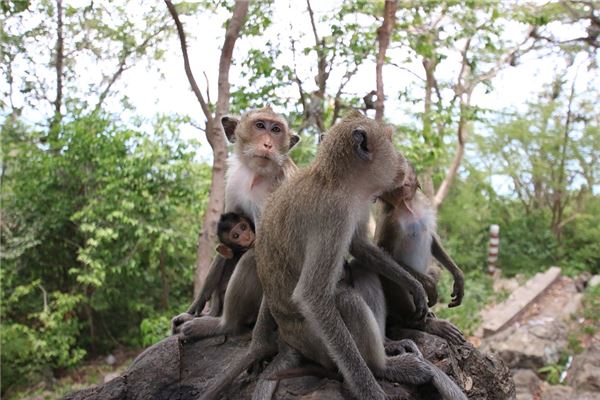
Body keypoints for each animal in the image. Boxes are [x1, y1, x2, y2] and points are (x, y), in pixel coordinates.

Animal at [171, 105, 298, 338]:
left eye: (276, 130)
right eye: (260, 126)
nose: (268, 144)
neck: (256, 174)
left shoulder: (283, 186)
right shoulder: (234, 182)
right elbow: (225, 245)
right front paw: (194, 309)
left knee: (252, 258)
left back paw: (223, 325)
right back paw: (211, 314)